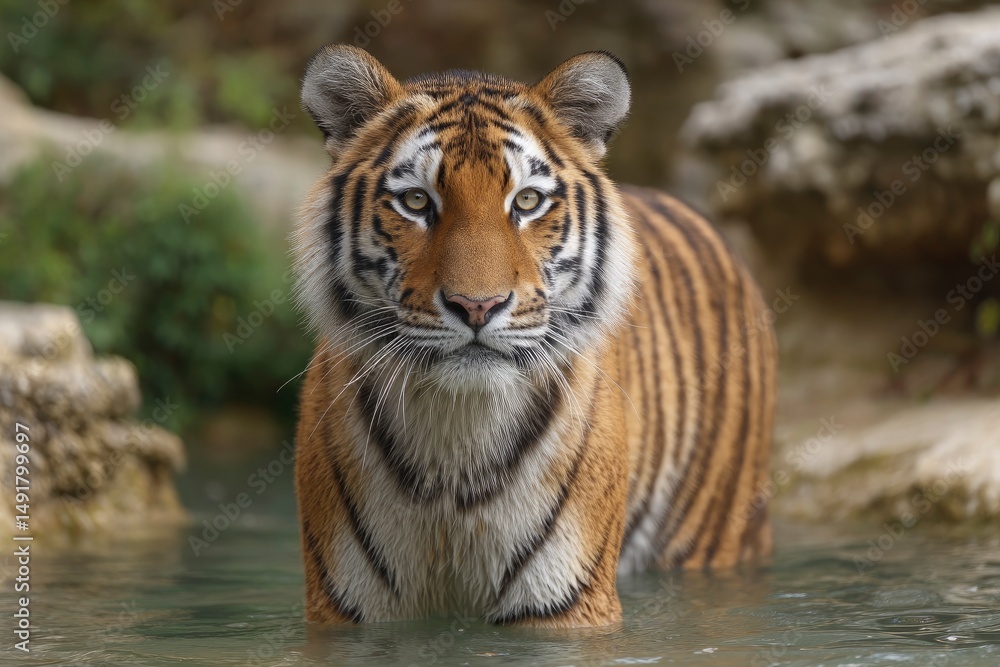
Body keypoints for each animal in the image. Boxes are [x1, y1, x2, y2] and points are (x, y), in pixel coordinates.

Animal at [292, 44, 777, 628]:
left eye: (525, 202)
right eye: (415, 201)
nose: (477, 306)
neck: (456, 440)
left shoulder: (566, 605)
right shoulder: (344, 608)